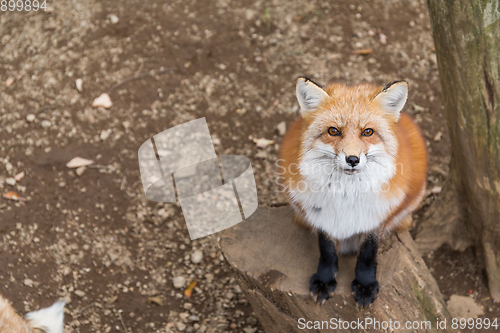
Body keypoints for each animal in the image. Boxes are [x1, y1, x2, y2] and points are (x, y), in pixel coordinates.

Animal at [278, 76, 426, 304]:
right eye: (333, 131)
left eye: (368, 132)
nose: (353, 159)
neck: (345, 194)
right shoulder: (320, 214)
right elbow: (326, 249)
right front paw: (324, 279)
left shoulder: (375, 216)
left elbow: (367, 253)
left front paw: (365, 284)